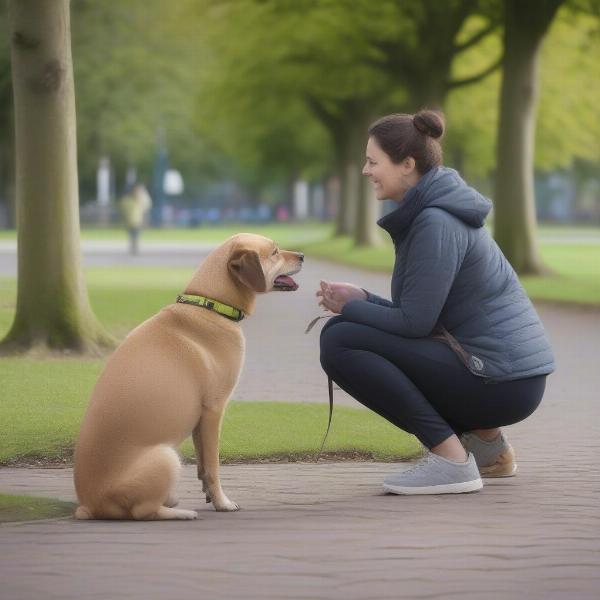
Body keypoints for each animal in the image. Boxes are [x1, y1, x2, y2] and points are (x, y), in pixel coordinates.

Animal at [72, 234, 302, 520]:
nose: (303, 256)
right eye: (274, 252)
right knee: (143, 511)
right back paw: (180, 512)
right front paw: (222, 502)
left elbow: (203, 465)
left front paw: (210, 495)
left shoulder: (200, 420)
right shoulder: (214, 410)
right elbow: (213, 465)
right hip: (167, 457)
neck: (211, 304)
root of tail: (90, 505)